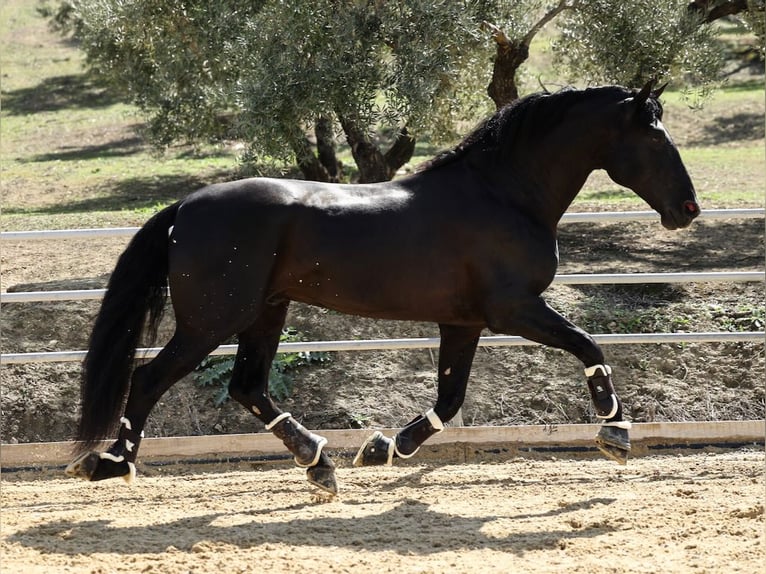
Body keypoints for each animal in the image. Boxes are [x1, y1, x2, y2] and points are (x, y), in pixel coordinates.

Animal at [67, 81, 704, 496]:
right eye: (655, 139)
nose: (688, 210)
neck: (504, 194)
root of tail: (186, 207)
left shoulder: (464, 322)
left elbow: (449, 400)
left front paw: (382, 450)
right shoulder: (514, 309)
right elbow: (587, 344)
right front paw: (615, 431)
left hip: (266, 313)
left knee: (248, 387)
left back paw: (319, 462)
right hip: (211, 322)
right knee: (149, 378)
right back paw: (110, 462)